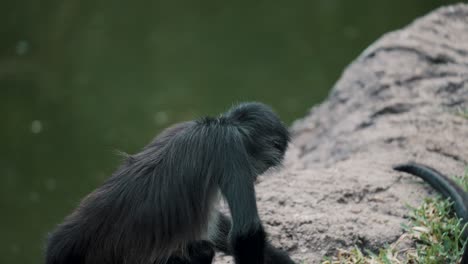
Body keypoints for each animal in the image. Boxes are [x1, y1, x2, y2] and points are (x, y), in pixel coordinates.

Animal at [46, 102, 296, 264]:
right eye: (261, 167)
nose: (256, 176)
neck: (219, 124)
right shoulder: (230, 147)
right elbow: (246, 231)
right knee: (203, 250)